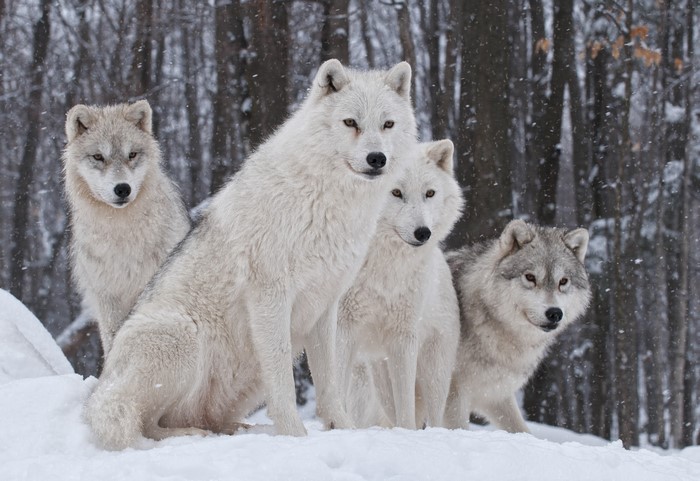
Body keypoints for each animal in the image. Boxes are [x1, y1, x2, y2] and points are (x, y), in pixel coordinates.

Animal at [84, 59, 418, 449]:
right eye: (351, 122)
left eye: (387, 124)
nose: (376, 158)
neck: (325, 200)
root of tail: (101, 386)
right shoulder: (270, 297)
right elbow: (284, 383)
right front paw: (295, 436)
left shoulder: (325, 305)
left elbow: (330, 383)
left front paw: (344, 430)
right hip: (182, 336)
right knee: (145, 422)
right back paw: (192, 435)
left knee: (201, 418)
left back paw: (240, 429)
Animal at [338, 139, 464, 429]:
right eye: (395, 192)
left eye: (430, 193)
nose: (423, 233)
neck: (383, 267)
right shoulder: (342, 329)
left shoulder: (404, 337)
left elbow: (406, 407)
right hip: (374, 377)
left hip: (433, 373)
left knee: (433, 416)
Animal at [443, 220, 591, 433]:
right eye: (530, 277)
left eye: (563, 281)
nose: (554, 313)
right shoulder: (453, 393)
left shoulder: (495, 395)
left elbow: (522, 430)